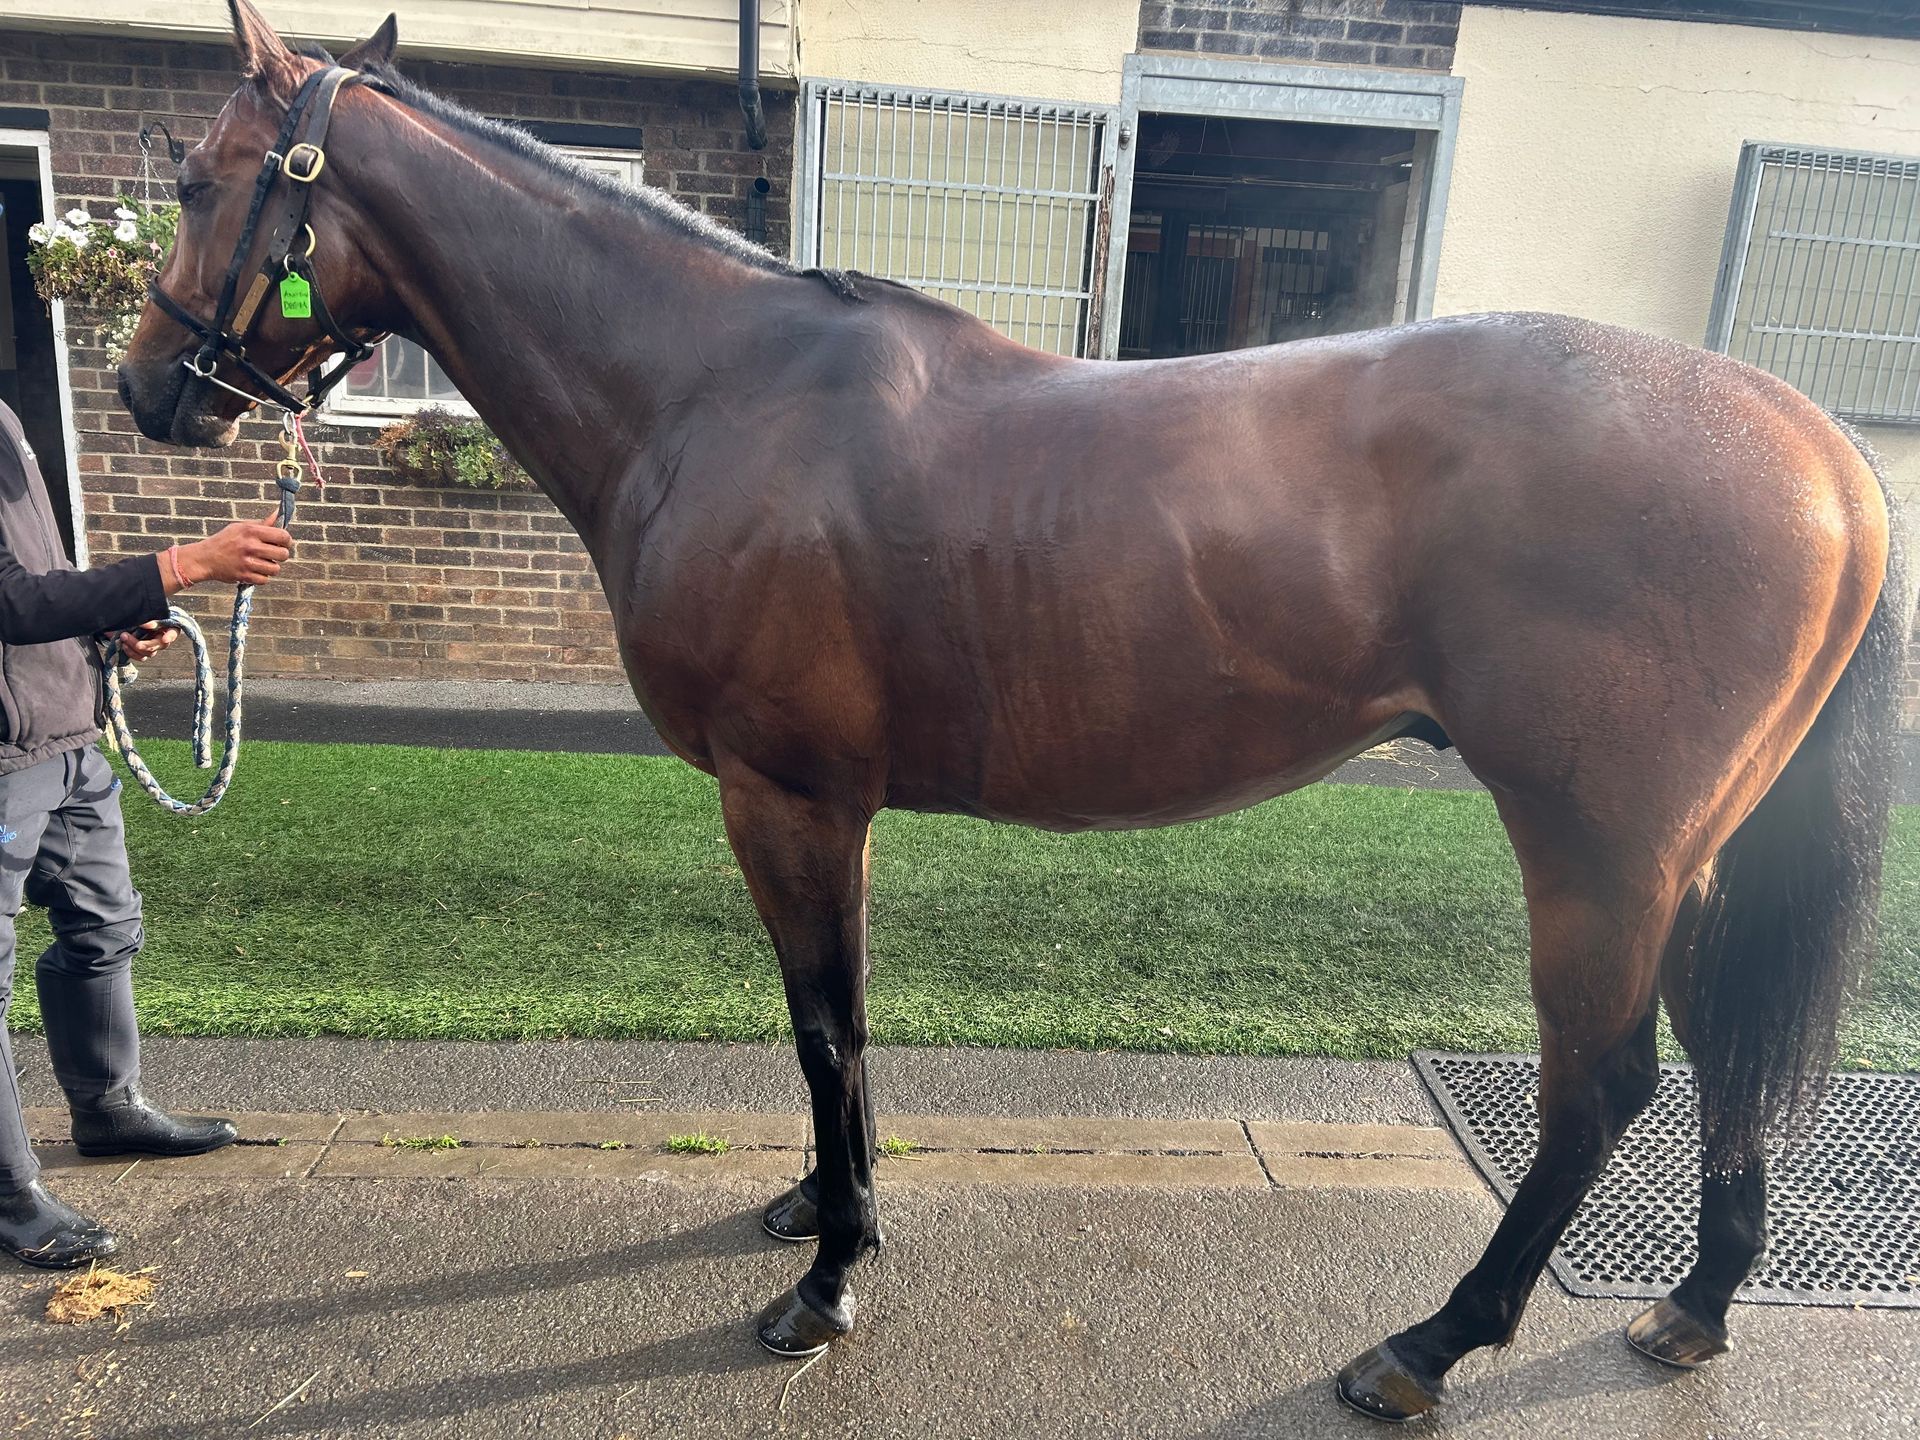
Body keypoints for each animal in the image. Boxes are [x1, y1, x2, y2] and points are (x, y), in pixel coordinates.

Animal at [117, 2, 1908, 1420]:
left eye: (200, 179)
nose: (142, 390)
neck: (715, 391)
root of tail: (1820, 443)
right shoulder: (831, 809)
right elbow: (837, 1026)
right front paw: (820, 1209)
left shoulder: (784, 796)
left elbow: (824, 1027)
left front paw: (827, 1280)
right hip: (1686, 855)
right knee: (1724, 1054)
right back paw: (1695, 1307)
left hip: (1595, 851)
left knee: (1602, 1091)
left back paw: (1430, 1344)